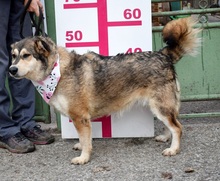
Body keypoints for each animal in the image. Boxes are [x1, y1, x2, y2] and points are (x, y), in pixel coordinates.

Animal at [9, 18, 201, 164]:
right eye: (14, 56)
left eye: (26, 55)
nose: (11, 70)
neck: (57, 70)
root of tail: (163, 54)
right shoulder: (80, 119)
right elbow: (83, 138)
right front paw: (81, 147)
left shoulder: (80, 117)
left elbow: (85, 140)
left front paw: (83, 158)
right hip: (160, 107)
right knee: (172, 124)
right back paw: (166, 138)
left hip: (160, 106)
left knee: (177, 127)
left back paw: (173, 149)